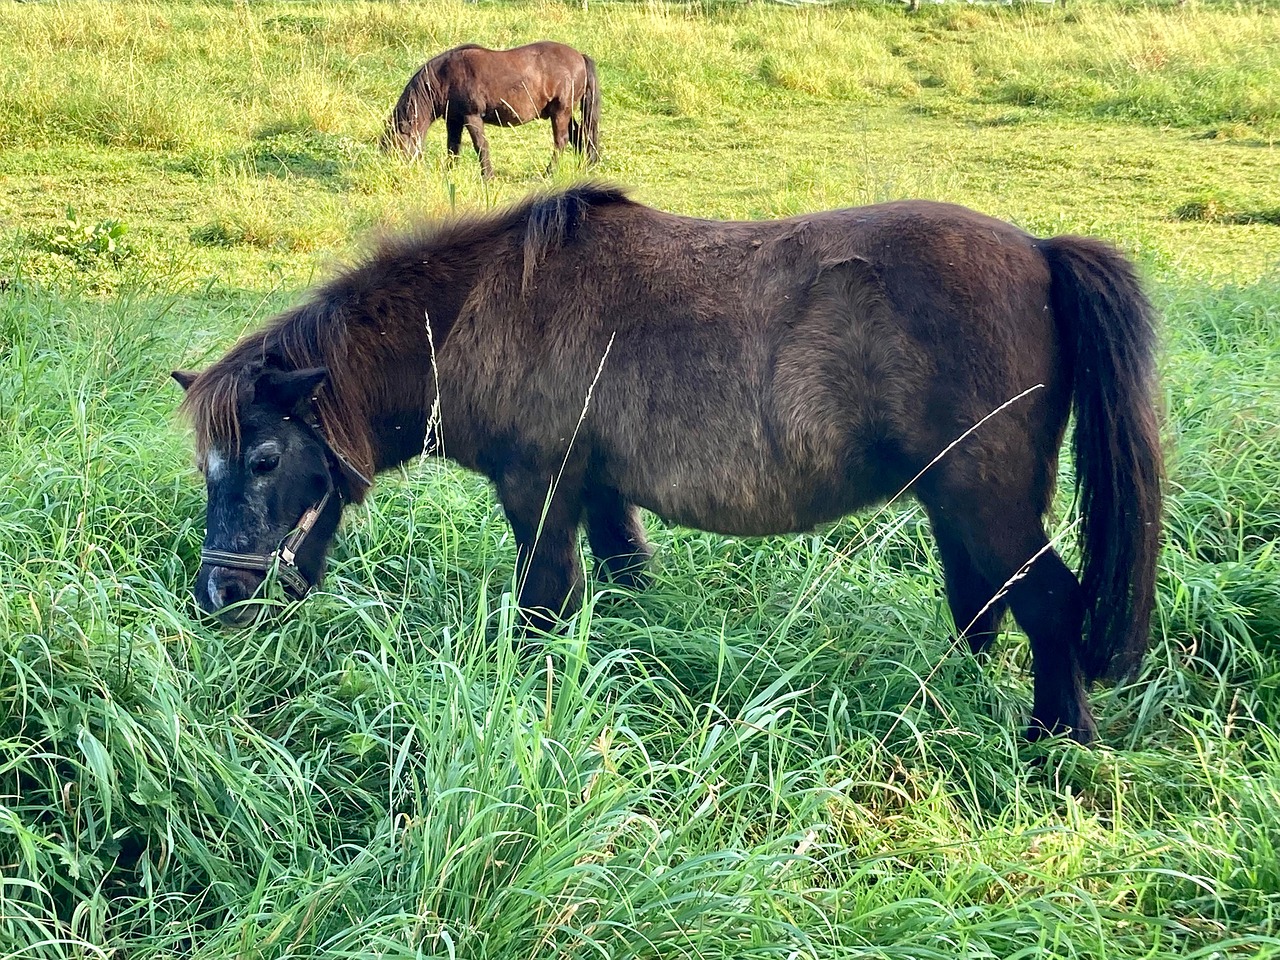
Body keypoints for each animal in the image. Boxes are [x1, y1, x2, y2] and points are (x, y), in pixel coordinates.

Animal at [172, 184, 1163, 745]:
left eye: (264, 458)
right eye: (209, 466)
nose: (219, 596)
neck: (479, 310)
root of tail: (1041, 253)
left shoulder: (539, 493)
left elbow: (544, 607)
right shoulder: (602, 495)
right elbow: (625, 582)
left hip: (987, 506)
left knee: (1050, 604)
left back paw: (1058, 742)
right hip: (956, 507)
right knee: (984, 606)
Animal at [381, 41, 601, 179]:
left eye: (394, 144)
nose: (393, 171)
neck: (444, 77)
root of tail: (579, 57)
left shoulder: (472, 117)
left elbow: (481, 146)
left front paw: (487, 176)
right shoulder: (454, 120)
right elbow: (452, 147)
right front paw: (450, 173)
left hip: (560, 112)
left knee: (561, 141)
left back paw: (549, 173)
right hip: (563, 113)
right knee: (579, 136)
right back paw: (585, 165)